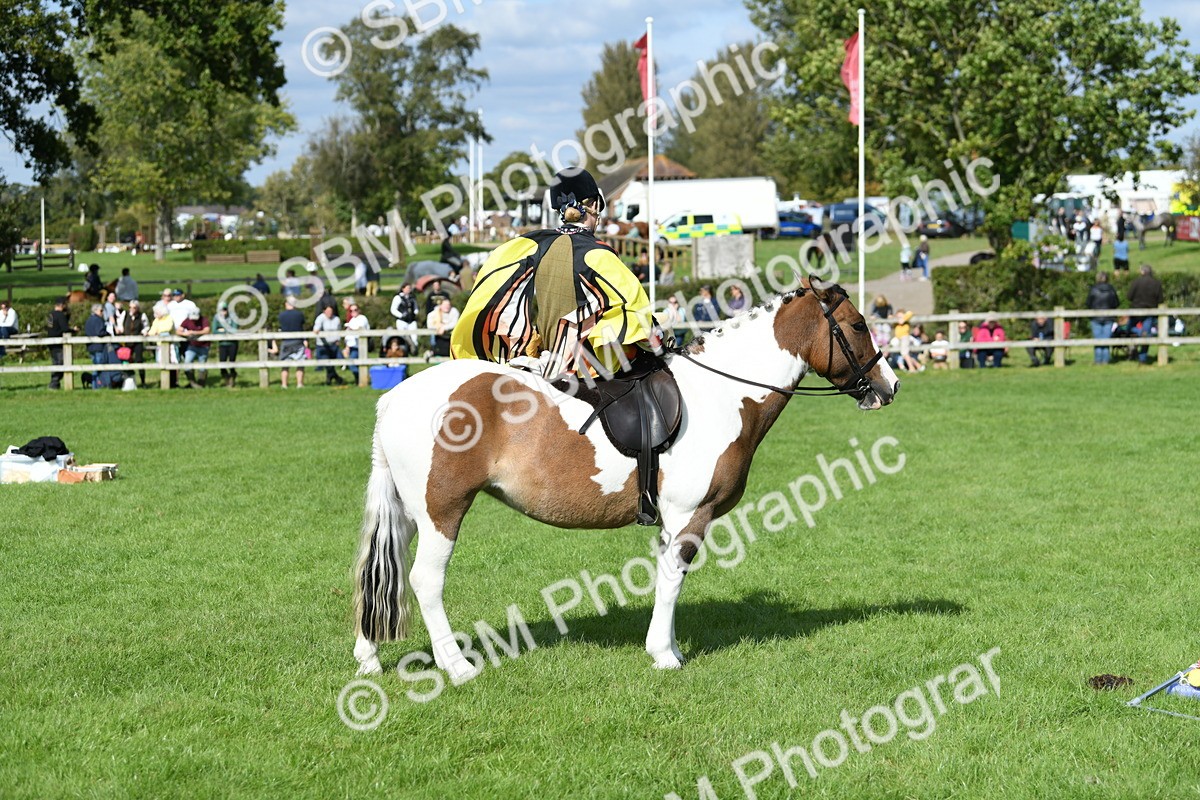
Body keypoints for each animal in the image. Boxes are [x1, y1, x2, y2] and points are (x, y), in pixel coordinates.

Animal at [351, 277, 900, 679]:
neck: (720, 395)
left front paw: (668, 645)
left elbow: (665, 580)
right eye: (856, 325)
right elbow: (674, 580)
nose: (889, 386)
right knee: (425, 580)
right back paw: (457, 665)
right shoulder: (690, 516)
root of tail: (395, 397)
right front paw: (665, 655)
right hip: (442, 511)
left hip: (408, 514)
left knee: (381, 574)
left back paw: (369, 657)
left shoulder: (669, 520)